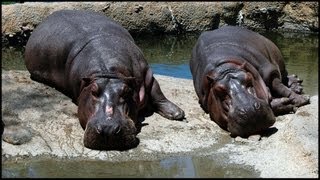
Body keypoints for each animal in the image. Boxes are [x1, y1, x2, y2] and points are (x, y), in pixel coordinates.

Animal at [24, 9, 185, 150]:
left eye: (125, 92)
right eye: (93, 91)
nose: (108, 129)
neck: (108, 73)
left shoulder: (147, 73)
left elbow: (157, 91)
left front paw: (177, 114)